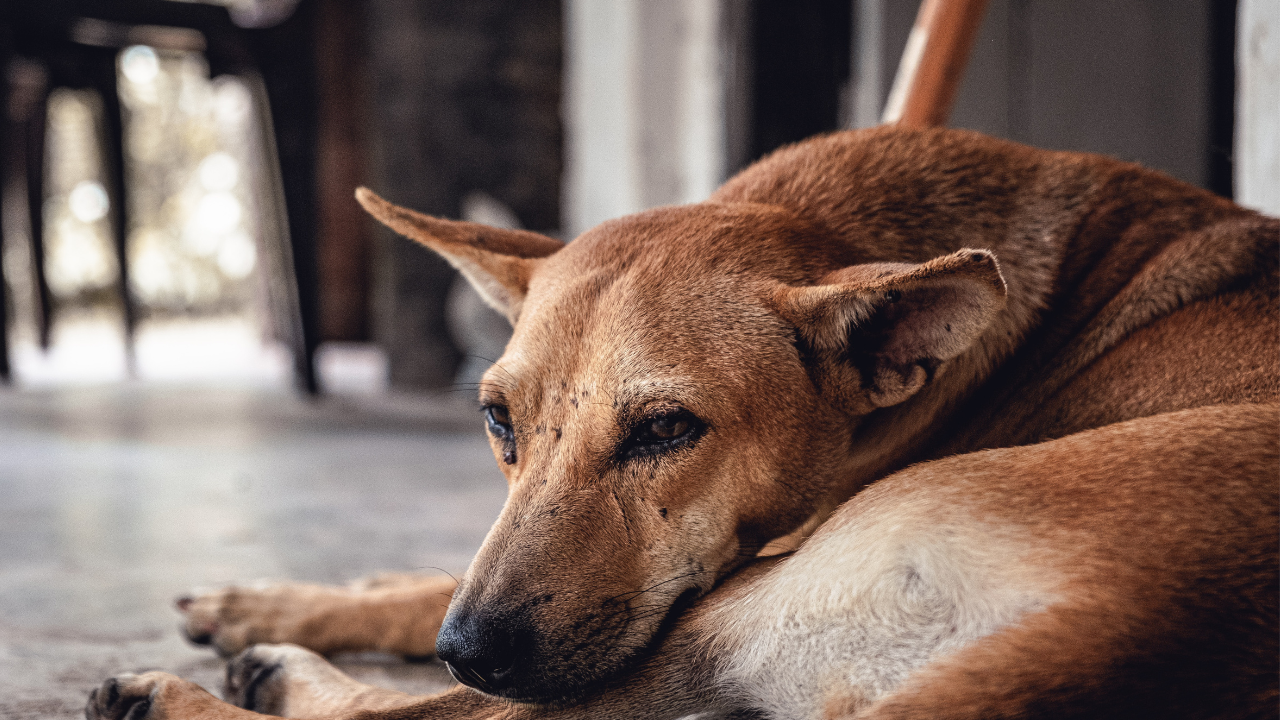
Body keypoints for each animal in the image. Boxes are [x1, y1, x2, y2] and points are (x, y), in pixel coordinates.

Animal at [87, 126, 1269, 712]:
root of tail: (1126, 629)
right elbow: (426, 580)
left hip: (739, 606)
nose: (467, 651)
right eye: (496, 421)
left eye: (665, 432)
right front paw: (292, 596)